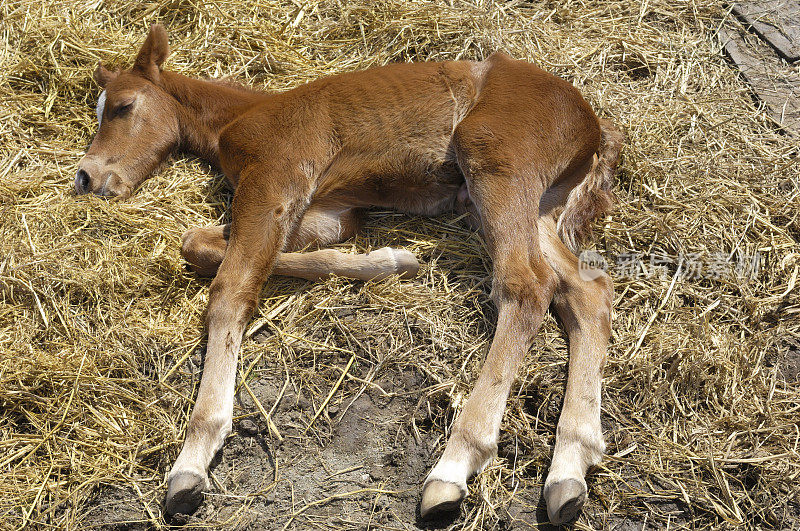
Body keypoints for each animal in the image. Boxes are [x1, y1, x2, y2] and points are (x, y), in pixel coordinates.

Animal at [76, 23, 624, 524]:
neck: (242, 115)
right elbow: (200, 245)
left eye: (122, 106)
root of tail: (593, 124)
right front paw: (387, 261)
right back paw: (571, 467)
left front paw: (193, 458)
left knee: (527, 285)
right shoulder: (328, 213)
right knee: (586, 292)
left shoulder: (276, 178)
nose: (85, 176)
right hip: (532, 205)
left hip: (496, 161)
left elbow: (231, 289)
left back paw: (455, 465)